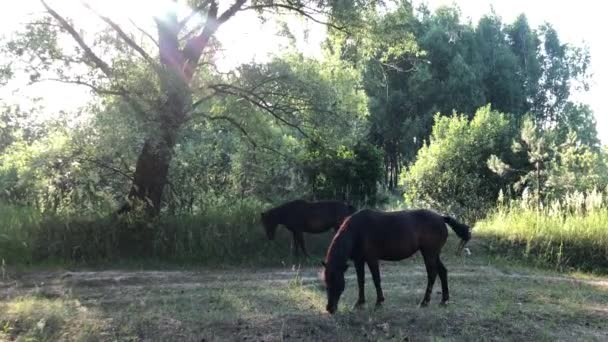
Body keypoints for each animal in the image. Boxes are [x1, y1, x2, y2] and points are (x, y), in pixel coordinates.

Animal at [324, 207, 470, 314]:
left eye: (336, 282)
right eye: (326, 282)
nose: (330, 308)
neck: (357, 231)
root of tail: (441, 217)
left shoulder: (372, 259)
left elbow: (376, 280)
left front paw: (379, 302)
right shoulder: (358, 261)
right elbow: (361, 281)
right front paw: (359, 303)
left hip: (429, 254)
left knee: (432, 274)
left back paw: (424, 302)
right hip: (434, 254)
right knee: (442, 272)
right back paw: (444, 301)